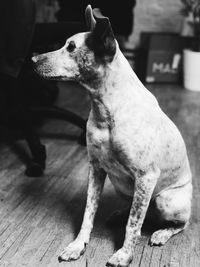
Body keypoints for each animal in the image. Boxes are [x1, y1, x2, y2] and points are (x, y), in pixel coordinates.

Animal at [32, 4, 193, 267]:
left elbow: (134, 225)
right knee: (136, 210)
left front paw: (124, 255)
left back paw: (161, 233)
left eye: (71, 47)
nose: (32, 59)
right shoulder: (96, 168)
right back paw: (120, 214)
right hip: (124, 188)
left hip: (165, 200)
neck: (106, 109)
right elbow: (89, 213)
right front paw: (77, 245)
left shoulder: (146, 177)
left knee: (178, 223)